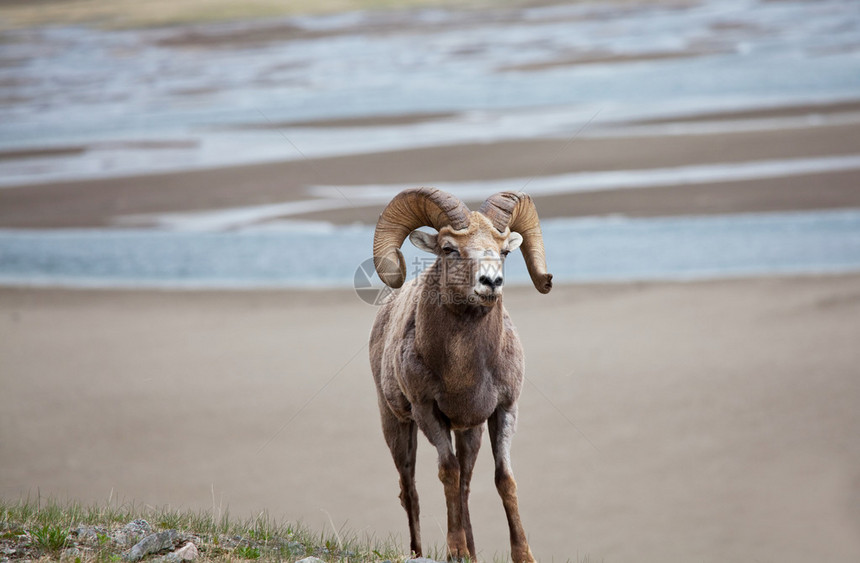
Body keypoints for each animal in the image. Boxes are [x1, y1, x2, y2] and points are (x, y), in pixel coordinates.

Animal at [370, 187, 552, 560]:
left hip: (470, 433)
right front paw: (456, 551)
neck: (463, 373)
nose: (491, 282)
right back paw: (420, 552)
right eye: (448, 248)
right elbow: (447, 473)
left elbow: (503, 479)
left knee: (466, 485)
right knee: (410, 490)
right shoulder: (428, 413)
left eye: (504, 252)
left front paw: (522, 555)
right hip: (396, 425)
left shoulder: (503, 411)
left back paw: (474, 552)